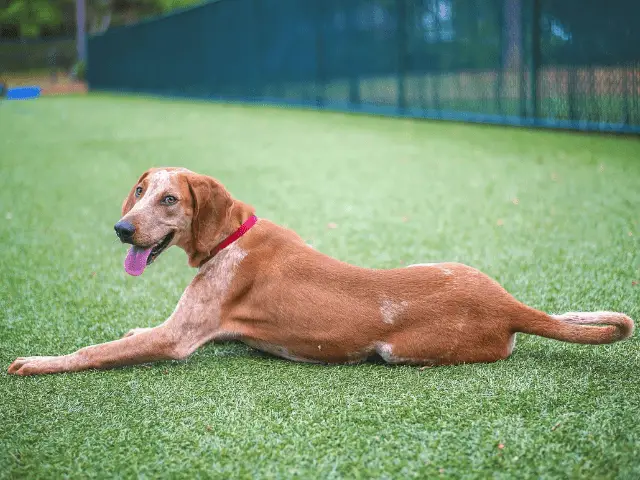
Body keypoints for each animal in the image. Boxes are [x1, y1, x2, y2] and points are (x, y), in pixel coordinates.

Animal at [6, 167, 636, 376]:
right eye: (140, 192)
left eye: (169, 199)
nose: (121, 229)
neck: (232, 234)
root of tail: (509, 307)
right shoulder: (195, 327)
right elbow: (136, 333)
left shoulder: (178, 339)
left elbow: (95, 351)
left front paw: (38, 363)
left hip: (400, 350)